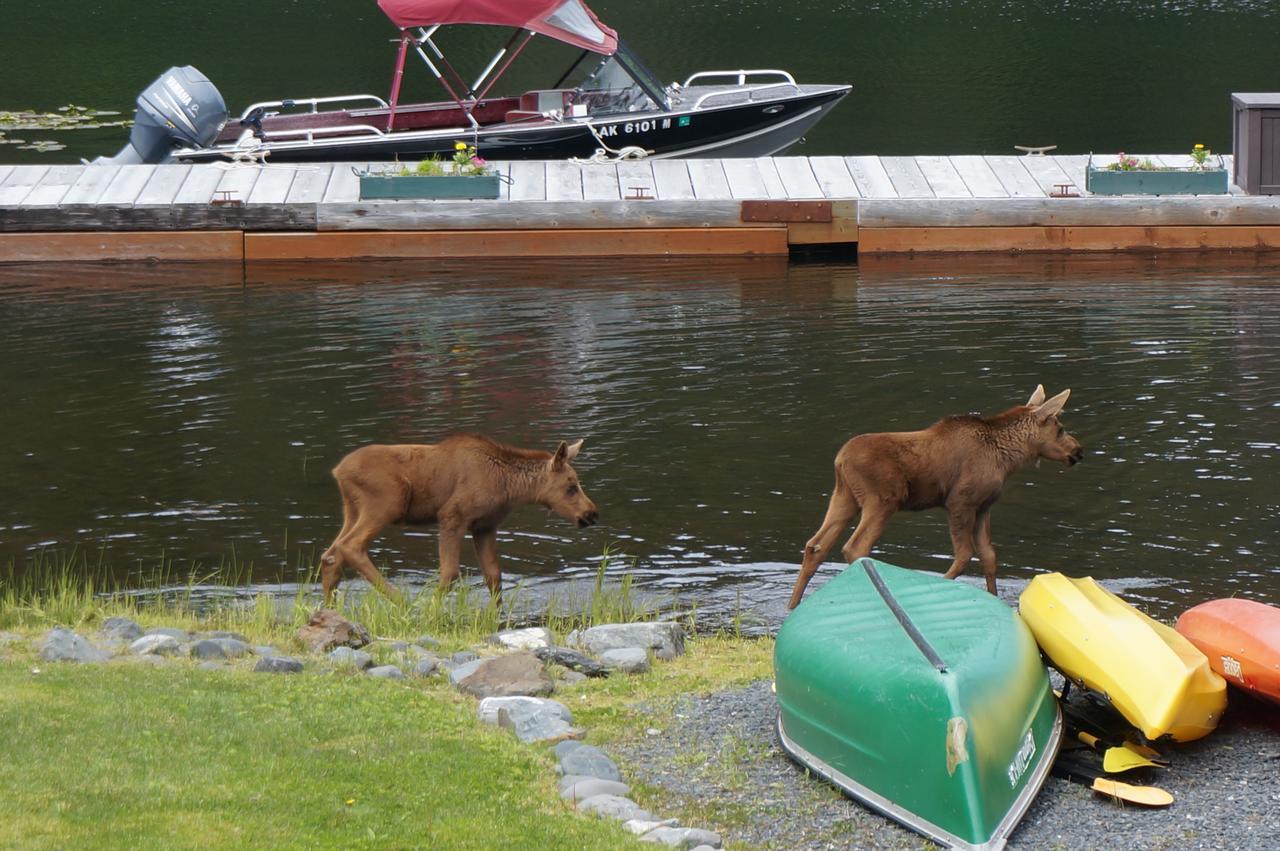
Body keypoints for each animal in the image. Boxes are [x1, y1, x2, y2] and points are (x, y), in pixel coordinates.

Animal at [320, 435, 599, 601]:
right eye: (571, 487)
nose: (592, 514)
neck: (508, 487)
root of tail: (337, 471)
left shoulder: (485, 526)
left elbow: (494, 575)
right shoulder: (452, 516)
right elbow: (450, 573)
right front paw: (432, 611)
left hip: (352, 509)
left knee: (331, 554)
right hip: (387, 502)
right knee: (350, 545)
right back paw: (400, 600)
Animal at [788, 383, 1080, 611]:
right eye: (1060, 428)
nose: (1079, 450)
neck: (1009, 458)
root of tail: (839, 460)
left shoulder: (984, 507)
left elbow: (989, 556)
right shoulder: (960, 502)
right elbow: (964, 556)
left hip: (844, 498)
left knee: (815, 545)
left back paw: (793, 605)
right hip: (882, 500)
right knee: (854, 546)